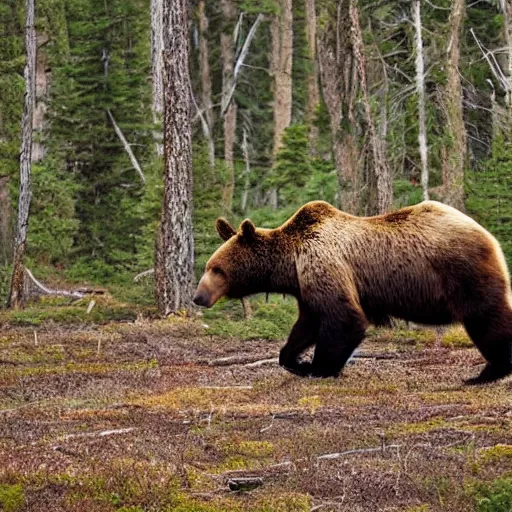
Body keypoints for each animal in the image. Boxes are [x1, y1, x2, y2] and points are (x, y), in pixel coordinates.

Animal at [193, 200, 512, 384]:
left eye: (217, 269)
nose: (198, 297)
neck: (290, 263)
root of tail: (489, 236)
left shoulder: (324, 263)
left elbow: (344, 318)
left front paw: (319, 367)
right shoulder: (306, 286)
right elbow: (307, 324)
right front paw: (295, 360)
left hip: (462, 271)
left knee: (486, 318)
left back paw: (486, 373)